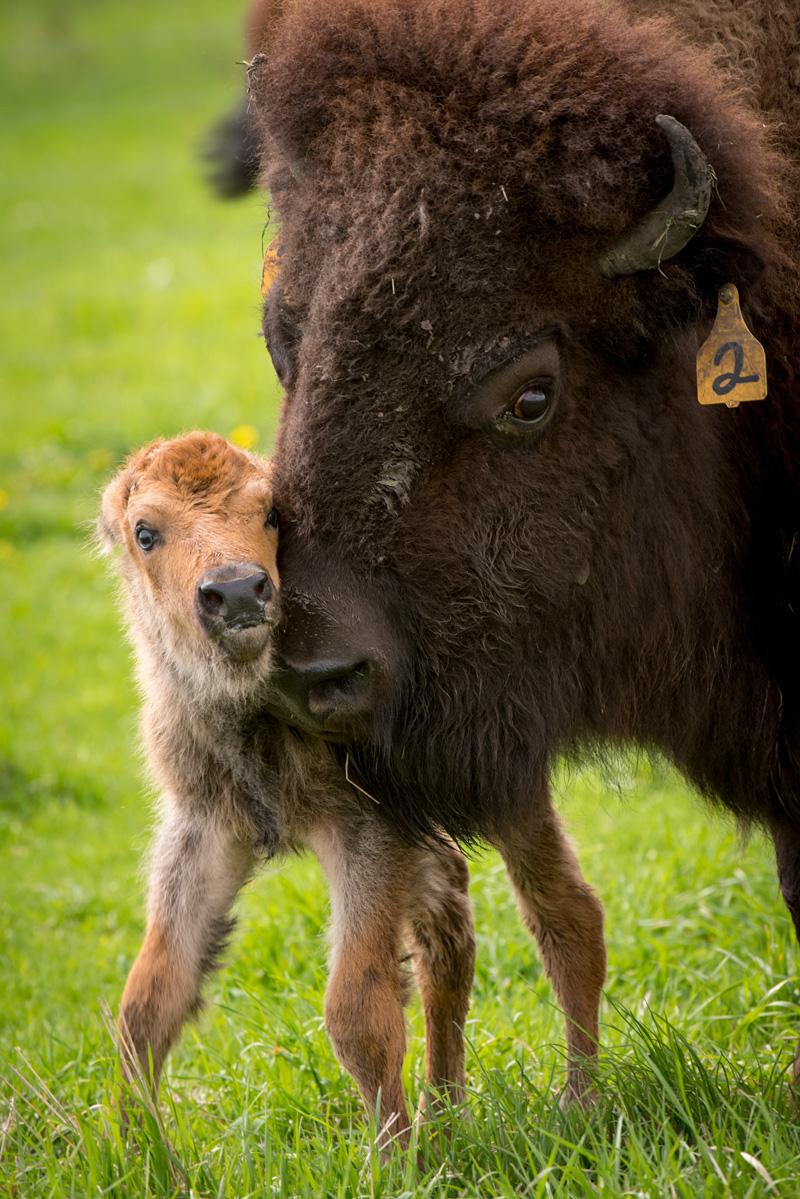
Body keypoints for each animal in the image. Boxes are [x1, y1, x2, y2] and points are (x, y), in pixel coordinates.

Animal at [99, 434, 474, 1151]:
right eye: (145, 531)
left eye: (271, 513)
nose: (237, 590)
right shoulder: (205, 830)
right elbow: (149, 999)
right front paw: (135, 1155)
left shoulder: (370, 830)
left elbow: (358, 1010)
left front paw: (397, 1160)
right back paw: (445, 1119)